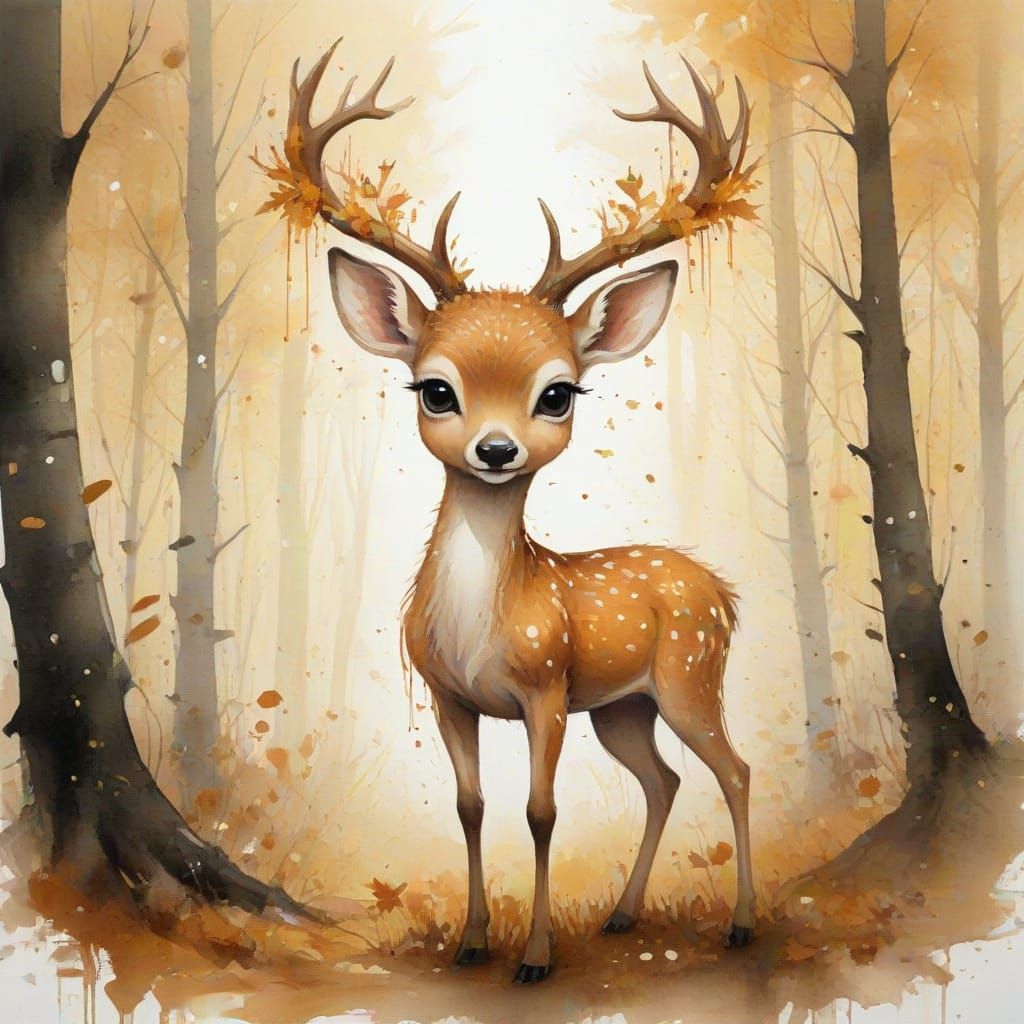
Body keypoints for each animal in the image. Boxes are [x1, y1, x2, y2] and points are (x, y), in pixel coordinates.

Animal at [275, 42, 756, 983]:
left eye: (558, 392)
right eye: (435, 388)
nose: (496, 450)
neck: (482, 628)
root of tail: (720, 589)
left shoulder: (546, 686)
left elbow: (541, 811)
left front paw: (533, 956)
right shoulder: (448, 694)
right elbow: (469, 806)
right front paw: (471, 941)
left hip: (688, 675)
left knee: (735, 771)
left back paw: (744, 925)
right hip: (623, 707)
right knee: (665, 780)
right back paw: (623, 915)